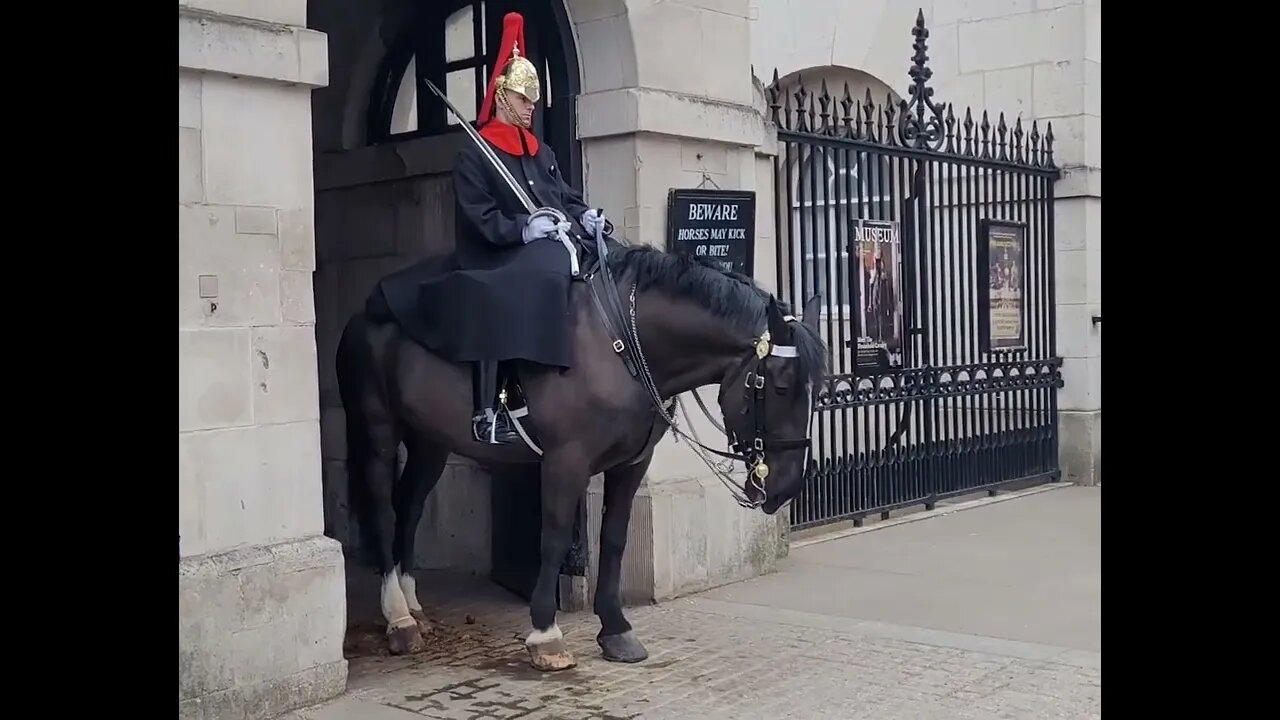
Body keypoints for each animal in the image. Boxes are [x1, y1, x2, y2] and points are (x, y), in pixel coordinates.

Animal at [335, 240, 824, 666]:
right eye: (781, 386)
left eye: (817, 390)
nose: (784, 489)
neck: (621, 343)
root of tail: (363, 313)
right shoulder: (564, 462)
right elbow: (552, 538)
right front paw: (544, 634)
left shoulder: (631, 465)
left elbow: (614, 539)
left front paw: (615, 629)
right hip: (377, 431)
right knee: (382, 511)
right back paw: (398, 618)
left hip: (430, 441)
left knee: (410, 506)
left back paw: (411, 602)